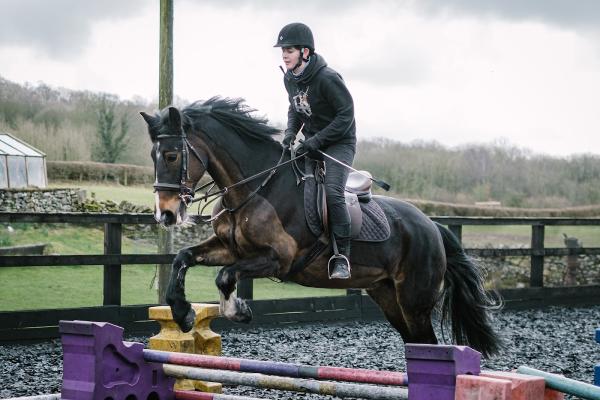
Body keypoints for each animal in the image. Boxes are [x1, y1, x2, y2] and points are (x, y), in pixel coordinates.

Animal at [142, 96, 502, 356]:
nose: (165, 215)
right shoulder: (231, 249)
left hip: (414, 299)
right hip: (387, 296)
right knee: (415, 342)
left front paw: (237, 311)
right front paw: (183, 313)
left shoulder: (278, 258)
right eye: (153, 155)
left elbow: (225, 276)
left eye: (172, 155)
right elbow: (184, 258)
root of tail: (433, 227)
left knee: (427, 344)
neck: (255, 188)